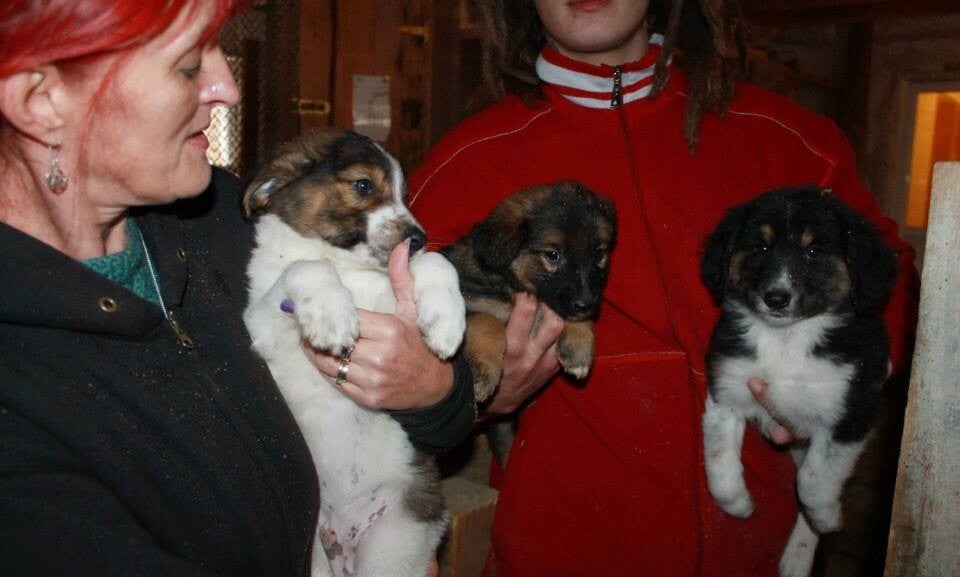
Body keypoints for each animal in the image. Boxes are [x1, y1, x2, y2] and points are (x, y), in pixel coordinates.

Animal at [242, 128, 465, 577]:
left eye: (404, 194)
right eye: (363, 185)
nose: (418, 237)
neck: (345, 269)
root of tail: (339, 535)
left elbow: (435, 263)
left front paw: (447, 321)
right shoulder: (259, 325)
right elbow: (302, 268)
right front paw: (330, 314)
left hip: (393, 545)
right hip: (314, 557)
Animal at [442, 181, 617, 463]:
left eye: (599, 254)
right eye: (553, 255)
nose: (587, 303)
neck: (514, 284)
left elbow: (572, 317)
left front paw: (578, 348)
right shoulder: (468, 302)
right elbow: (488, 321)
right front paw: (482, 374)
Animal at [699, 185, 898, 577]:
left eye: (813, 251)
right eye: (761, 247)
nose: (776, 298)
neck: (786, 339)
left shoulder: (851, 413)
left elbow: (812, 484)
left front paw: (828, 519)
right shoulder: (726, 392)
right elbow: (720, 471)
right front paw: (741, 506)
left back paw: (800, 553)